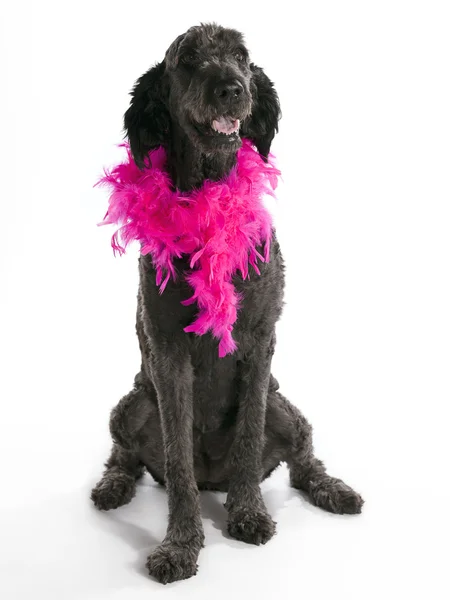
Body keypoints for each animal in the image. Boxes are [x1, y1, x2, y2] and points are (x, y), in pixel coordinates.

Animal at [91, 24, 362, 584]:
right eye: (188, 59)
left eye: (241, 55)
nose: (232, 88)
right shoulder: (168, 353)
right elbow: (176, 464)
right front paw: (180, 545)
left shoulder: (260, 343)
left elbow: (249, 436)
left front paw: (249, 513)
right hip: (132, 405)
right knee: (127, 454)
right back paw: (113, 484)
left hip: (287, 409)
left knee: (302, 460)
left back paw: (333, 490)